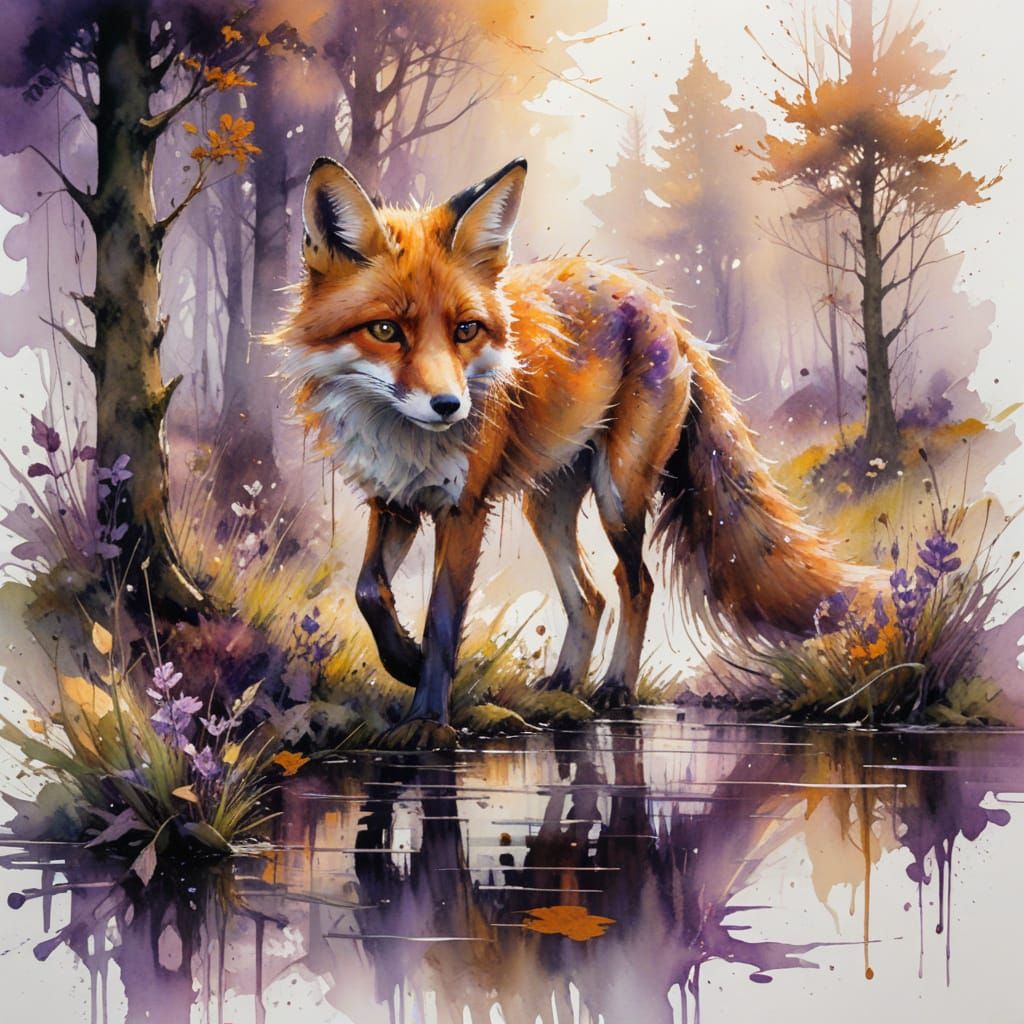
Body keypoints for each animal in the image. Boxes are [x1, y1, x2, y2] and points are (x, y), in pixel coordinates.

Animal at [276, 156, 863, 747]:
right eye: (385, 330)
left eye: (465, 330)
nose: (449, 406)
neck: (406, 442)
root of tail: (659, 303)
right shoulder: (393, 502)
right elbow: (369, 591)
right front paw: (405, 663)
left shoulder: (464, 509)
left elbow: (443, 617)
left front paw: (426, 718)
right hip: (547, 507)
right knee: (589, 597)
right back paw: (562, 686)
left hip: (618, 494)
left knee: (635, 582)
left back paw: (615, 687)